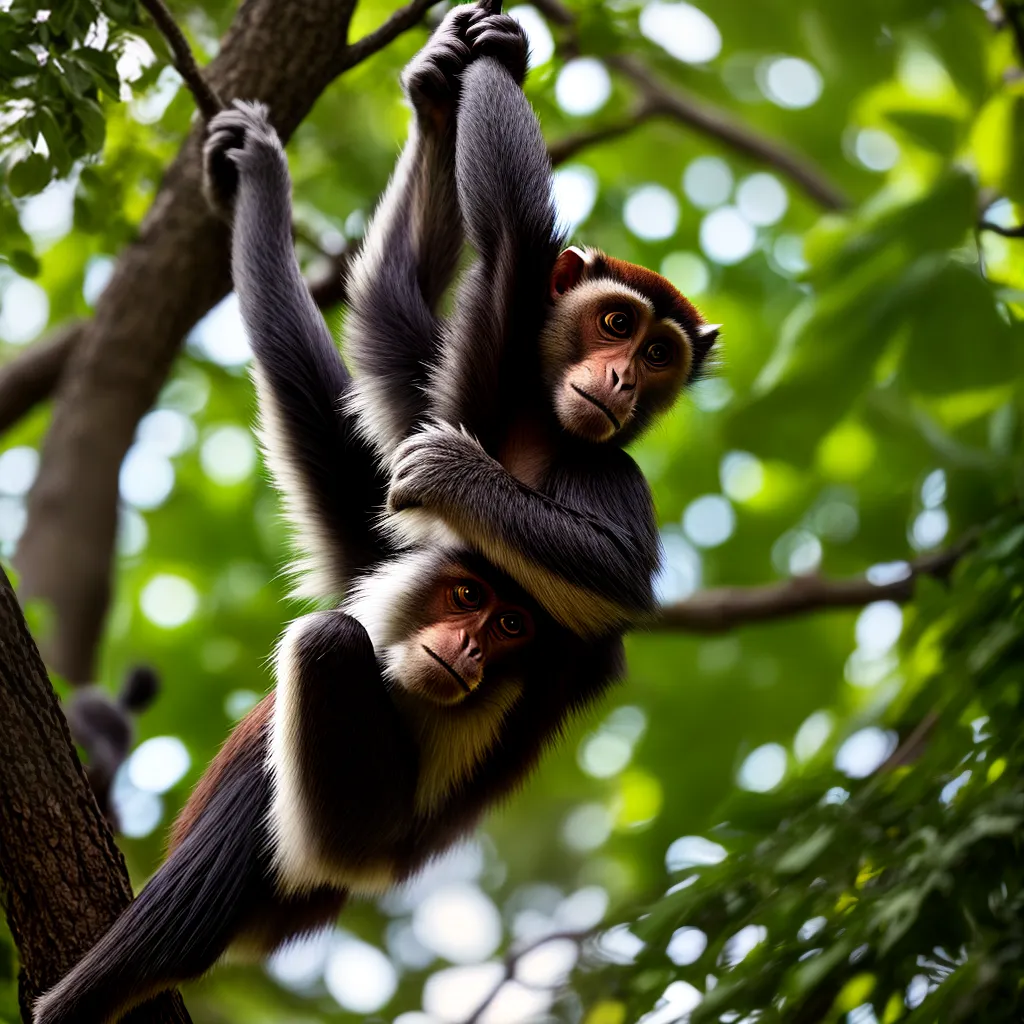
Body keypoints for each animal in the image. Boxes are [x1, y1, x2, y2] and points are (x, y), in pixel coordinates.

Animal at [343, 11, 720, 640]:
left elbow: (615, 572)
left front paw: (453, 473)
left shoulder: (615, 471)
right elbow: (443, 268)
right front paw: (451, 80)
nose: (623, 379)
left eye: (658, 355)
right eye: (617, 321)